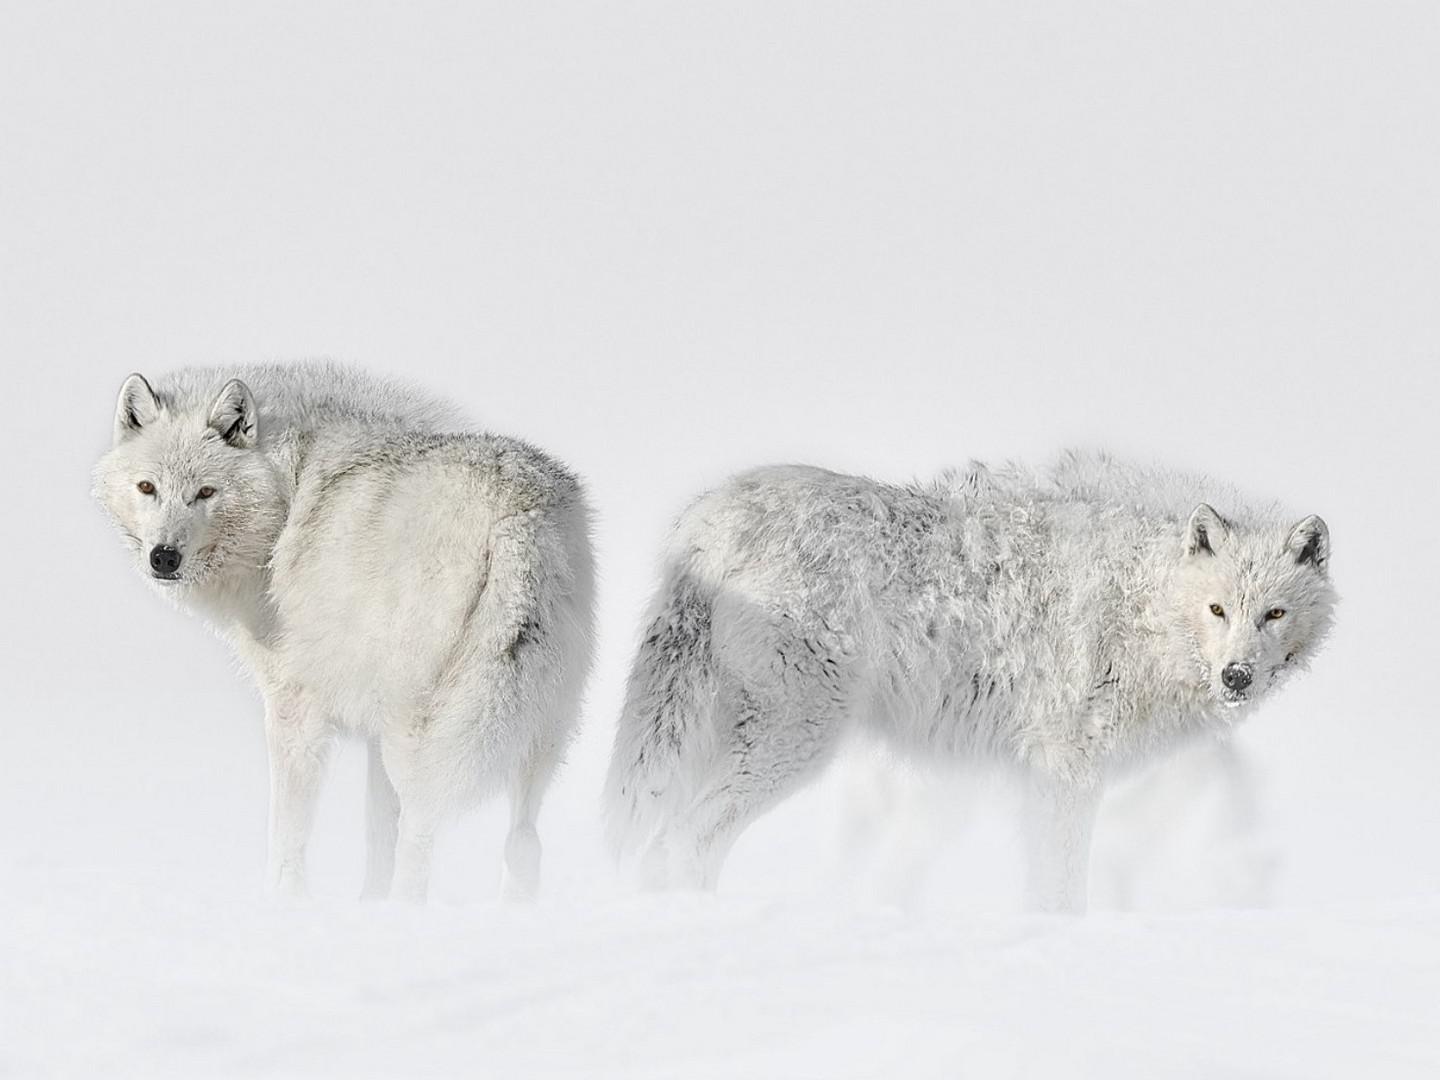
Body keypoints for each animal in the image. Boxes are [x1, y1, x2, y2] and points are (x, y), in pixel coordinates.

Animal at [91, 365, 596, 904]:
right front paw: (366, 904)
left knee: (422, 838)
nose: (163, 557)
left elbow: (287, 837)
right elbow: (376, 833)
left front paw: (283, 902)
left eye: (205, 492)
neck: (286, 497)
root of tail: (516, 514)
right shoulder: (373, 732)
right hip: (533, 731)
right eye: (147, 487)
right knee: (524, 843)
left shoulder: (295, 709)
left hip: (424, 735)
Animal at [601, 449, 1330, 915]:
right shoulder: (1068, 768)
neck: (1146, 605)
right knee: (686, 840)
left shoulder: (1043, 777)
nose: (1237, 676)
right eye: (1218, 609)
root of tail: (706, 519)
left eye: (1273, 613)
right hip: (795, 742)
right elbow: (1065, 888)